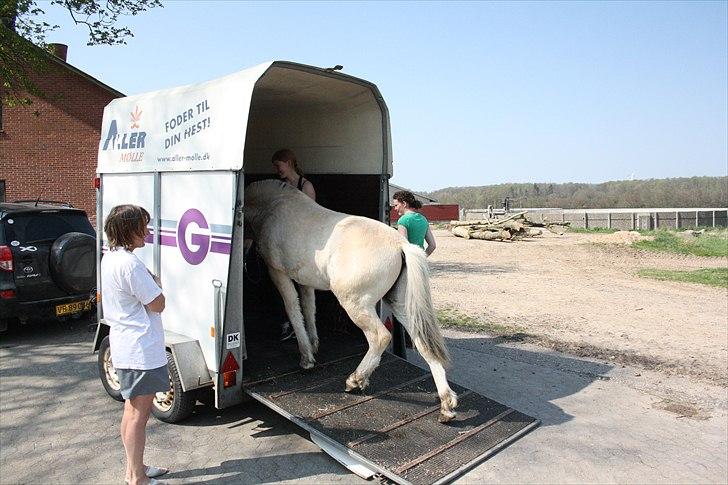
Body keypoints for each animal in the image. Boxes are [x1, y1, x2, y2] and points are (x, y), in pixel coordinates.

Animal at [247, 180, 458, 422]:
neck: (272, 206)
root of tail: (400, 244)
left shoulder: (278, 273)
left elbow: (292, 308)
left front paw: (306, 357)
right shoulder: (305, 280)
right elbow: (308, 309)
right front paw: (313, 344)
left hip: (356, 305)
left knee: (379, 337)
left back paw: (355, 379)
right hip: (402, 307)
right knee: (423, 343)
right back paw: (446, 405)